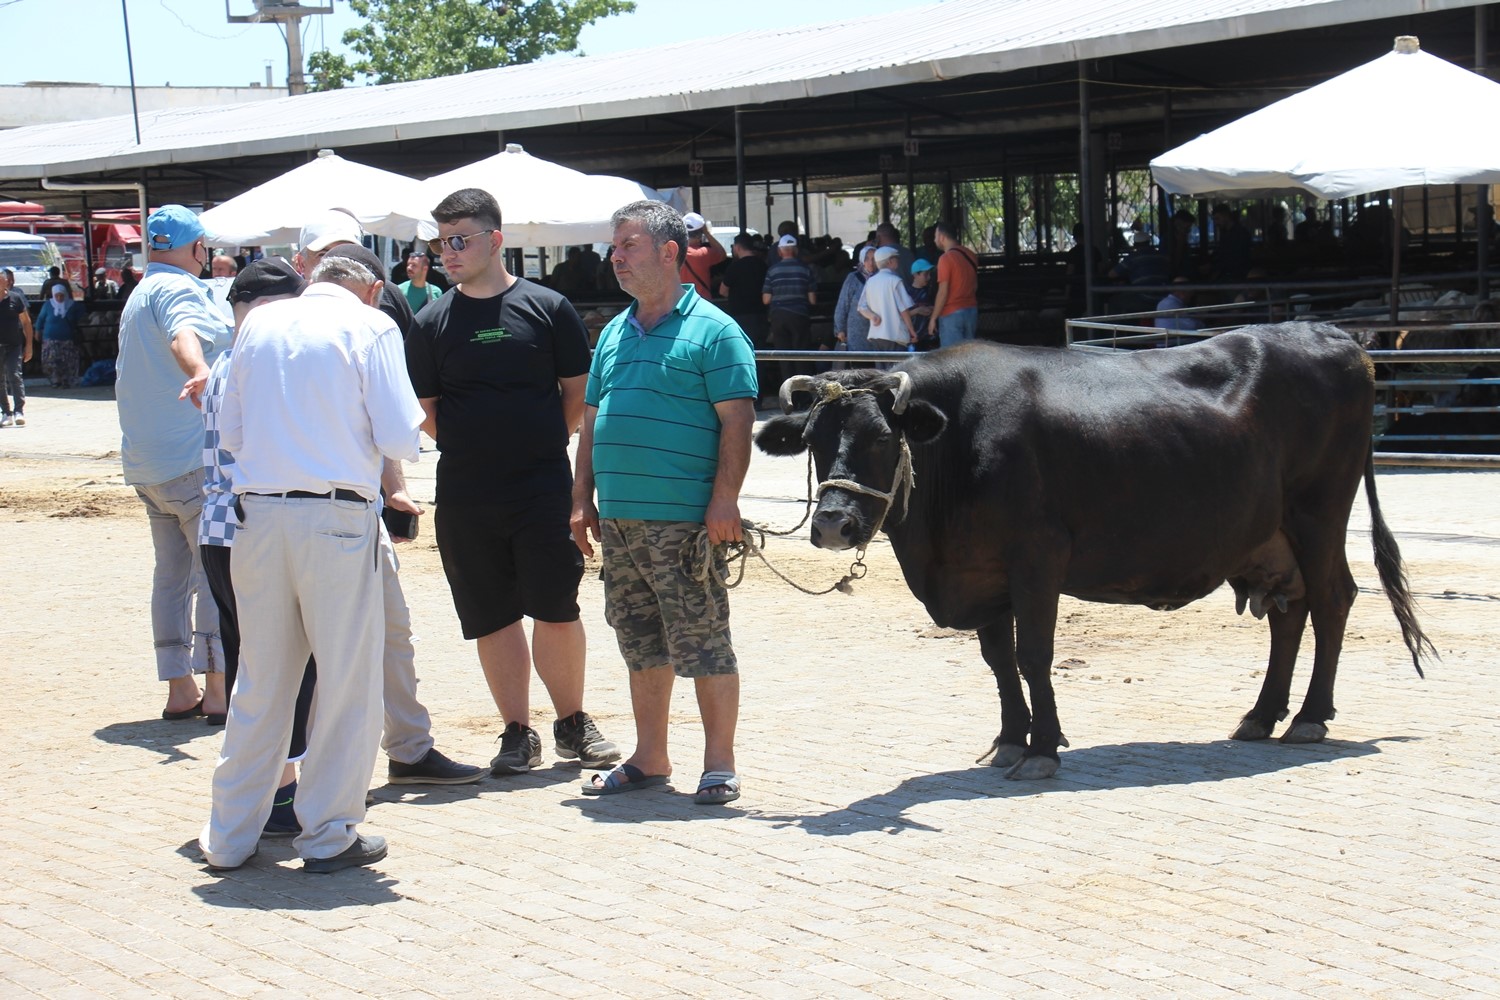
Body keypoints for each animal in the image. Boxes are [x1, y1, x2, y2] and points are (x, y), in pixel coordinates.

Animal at [756, 325, 1434, 779]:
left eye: (880, 438)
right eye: (814, 439)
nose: (834, 523)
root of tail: (1335, 338)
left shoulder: (1037, 557)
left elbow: (1032, 655)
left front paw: (1042, 749)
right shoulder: (983, 571)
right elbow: (998, 662)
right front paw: (1011, 738)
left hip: (1319, 515)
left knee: (1332, 600)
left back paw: (1310, 717)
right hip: (1268, 538)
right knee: (1291, 615)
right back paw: (1262, 715)